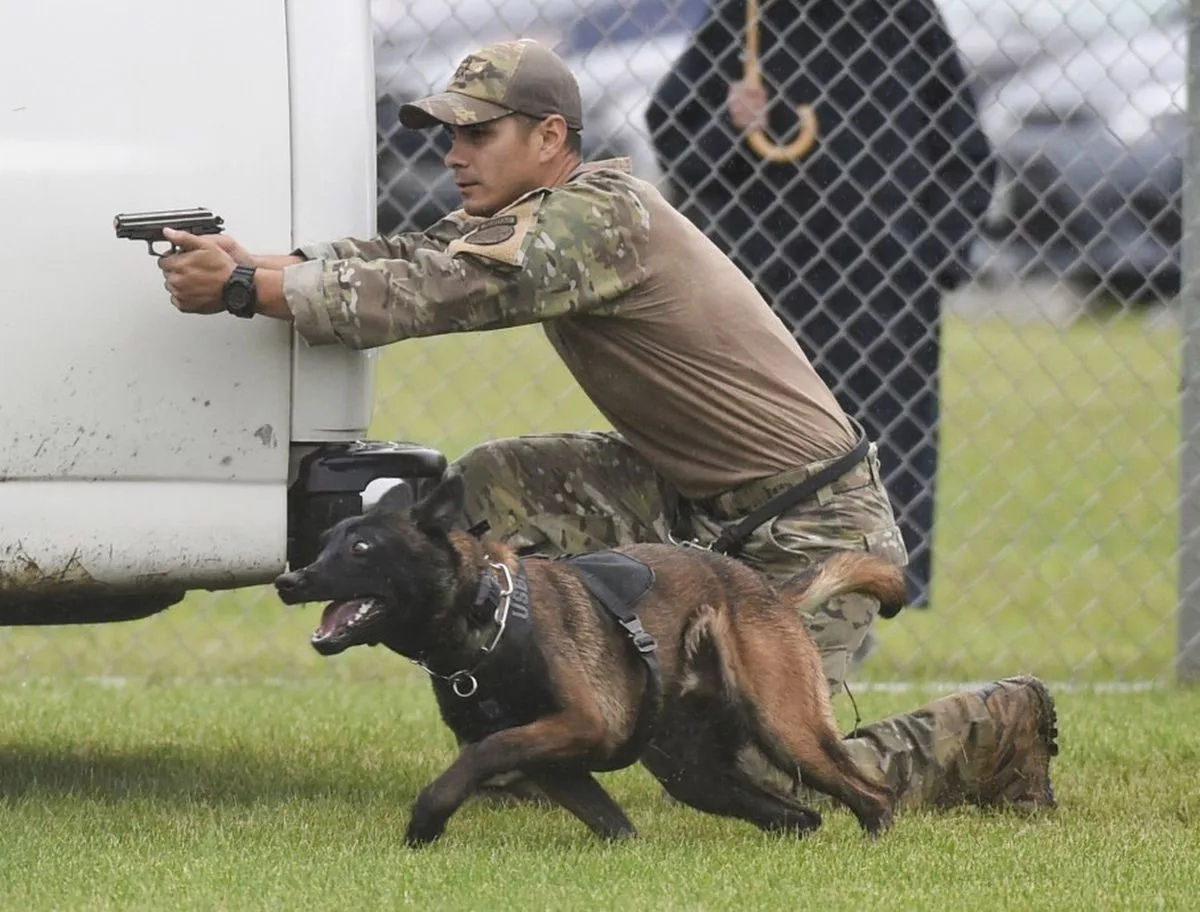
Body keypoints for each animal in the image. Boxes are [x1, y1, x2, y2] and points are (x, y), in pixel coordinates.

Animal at [276, 472, 902, 844]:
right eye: (326, 544)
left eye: (361, 548)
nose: (288, 581)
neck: (489, 617)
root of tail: (770, 592)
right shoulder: (559, 765)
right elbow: (615, 826)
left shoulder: (580, 724)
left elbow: (485, 750)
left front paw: (428, 816)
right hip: (696, 774)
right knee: (798, 815)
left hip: (785, 727)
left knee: (871, 794)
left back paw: (875, 841)